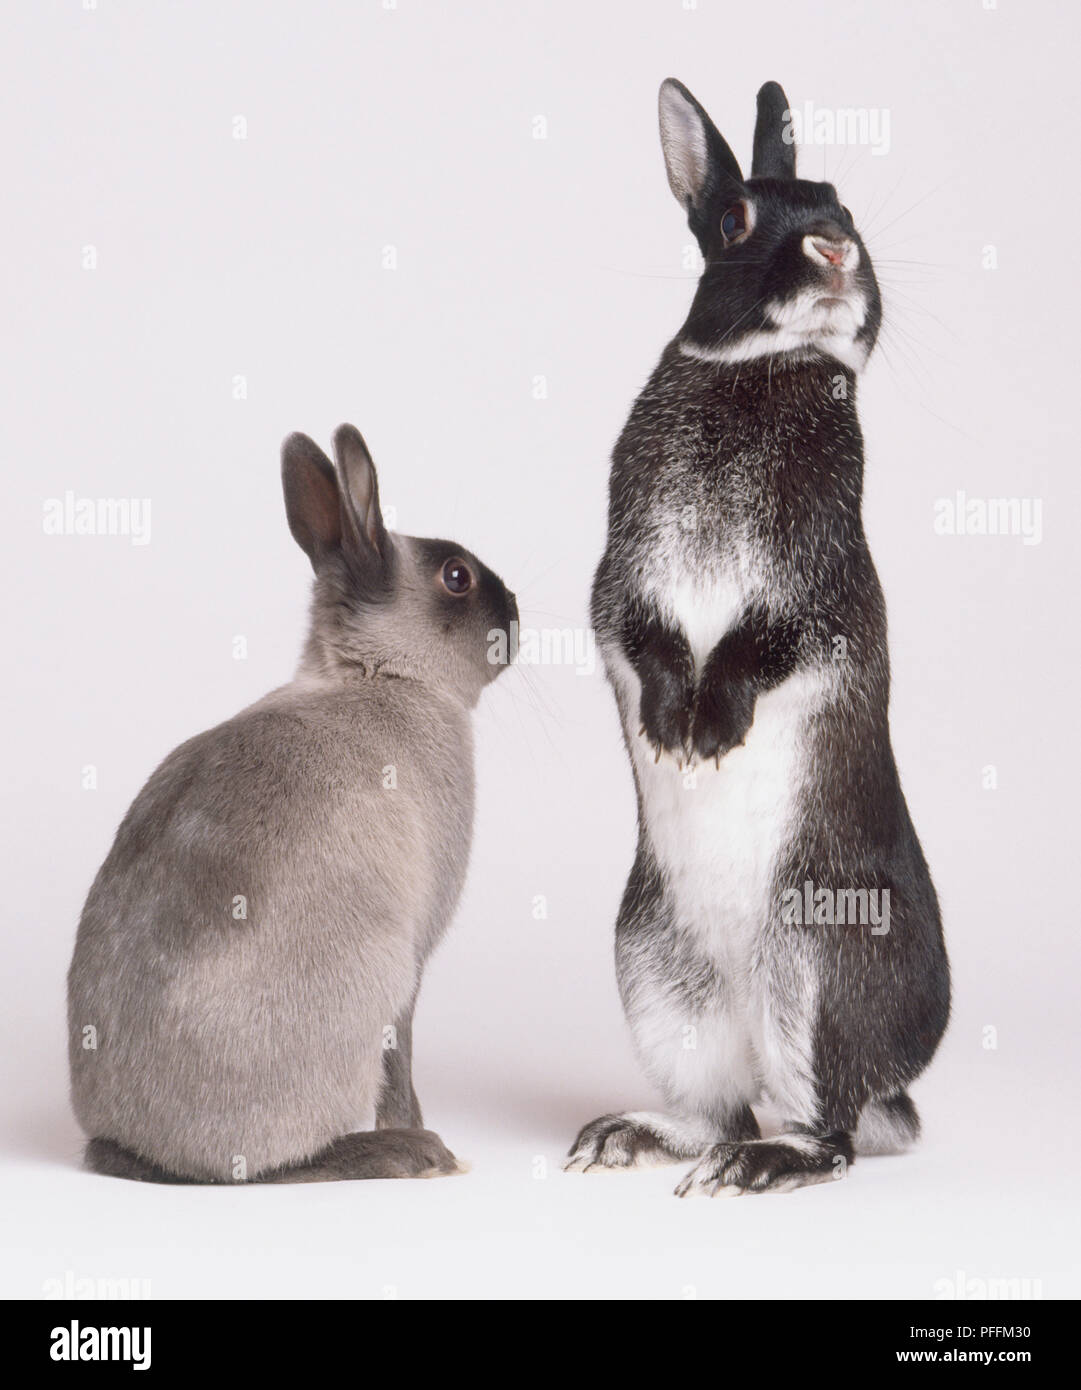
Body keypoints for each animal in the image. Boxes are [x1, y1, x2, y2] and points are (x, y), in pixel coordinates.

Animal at [68, 423, 517, 1183]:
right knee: (273, 1165)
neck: (383, 675)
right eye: (456, 577)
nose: (515, 615)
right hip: (367, 975)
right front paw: (422, 1135)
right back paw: (404, 1153)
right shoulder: (411, 967)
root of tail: (135, 1146)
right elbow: (400, 1064)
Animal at [565, 80, 950, 1196]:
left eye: (842, 202)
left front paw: (710, 729)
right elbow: (639, 635)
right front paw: (672, 724)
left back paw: (757, 1169)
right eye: (735, 219)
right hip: (656, 973)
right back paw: (632, 1138)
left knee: (823, 1133)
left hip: (813, 967)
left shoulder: (816, 592)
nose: (833, 247)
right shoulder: (620, 581)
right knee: (718, 1108)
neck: (762, 367)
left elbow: (761, 646)